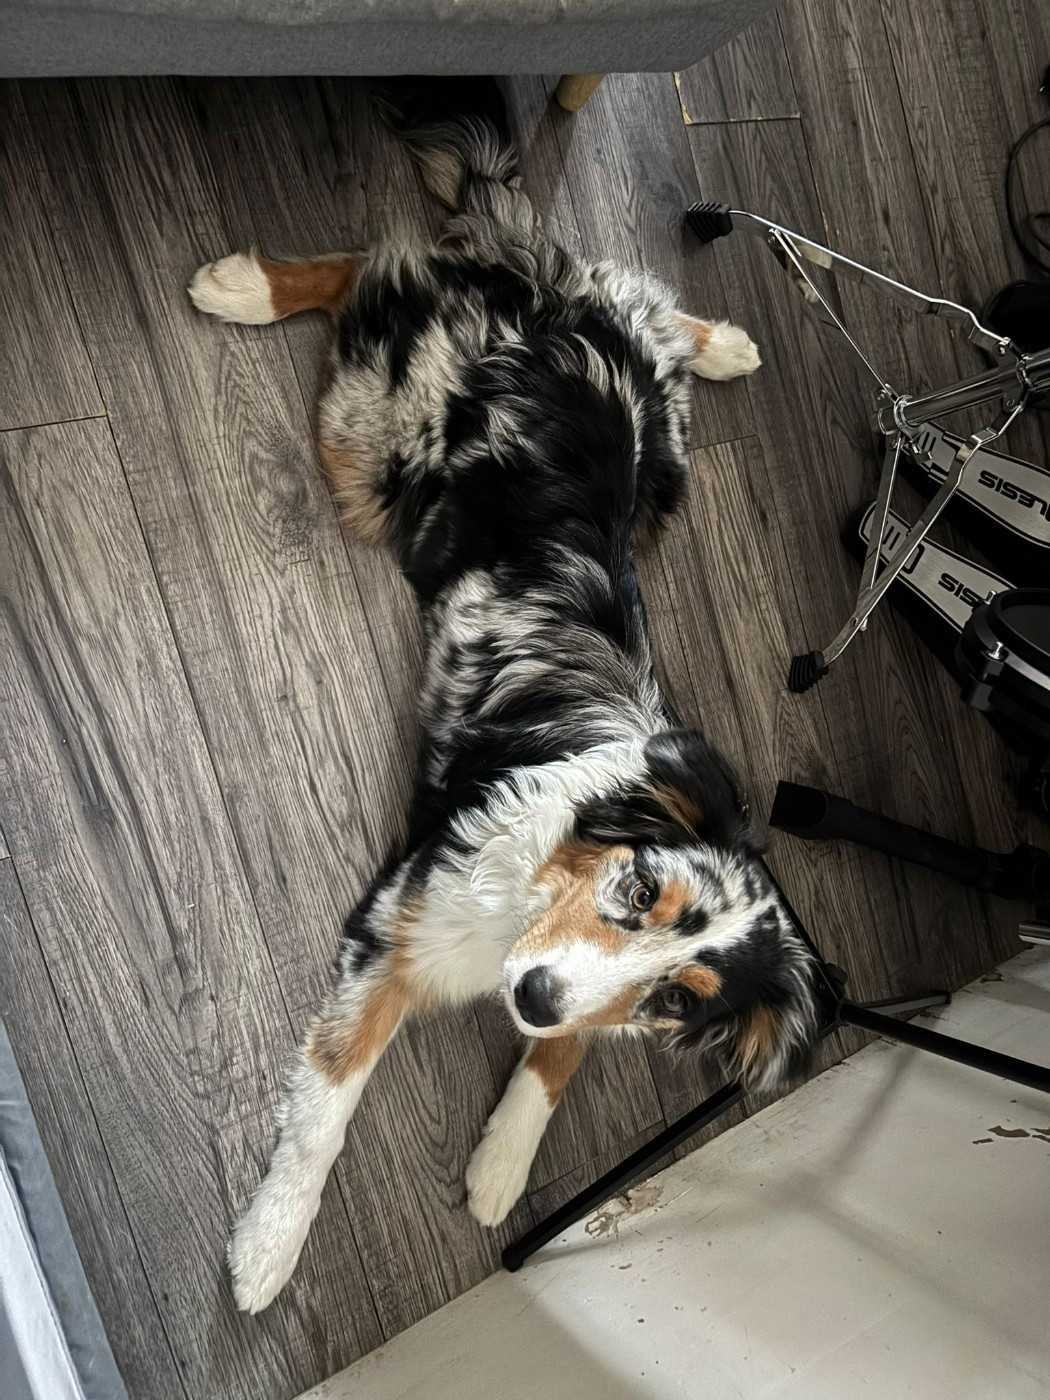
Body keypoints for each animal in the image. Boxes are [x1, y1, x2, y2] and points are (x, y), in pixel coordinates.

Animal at [189, 82, 821, 1315]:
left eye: (679, 1001)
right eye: (639, 888)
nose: (528, 992)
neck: (543, 882)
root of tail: (542, 299)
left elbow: (568, 1053)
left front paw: (501, 1163)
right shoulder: (398, 925)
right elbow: (329, 1105)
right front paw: (268, 1250)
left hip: (662, 452)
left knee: (637, 294)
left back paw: (726, 343)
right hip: (364, 441)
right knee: (376, 265)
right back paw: (242, 286)